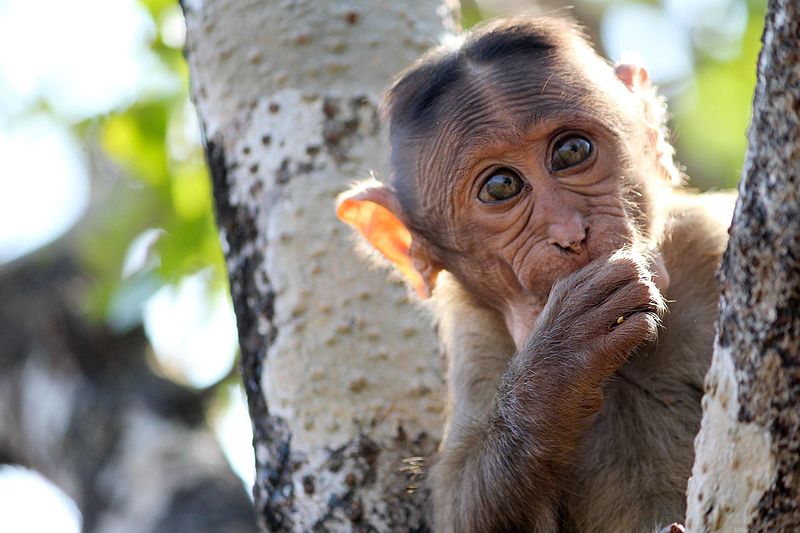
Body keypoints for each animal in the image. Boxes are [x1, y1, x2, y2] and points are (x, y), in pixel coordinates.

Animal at [334, 16, 736, 532]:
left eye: (571, 152)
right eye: (501, 186)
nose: (570, 233)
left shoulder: (707, 244)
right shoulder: (476, 339)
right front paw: (559, 363)